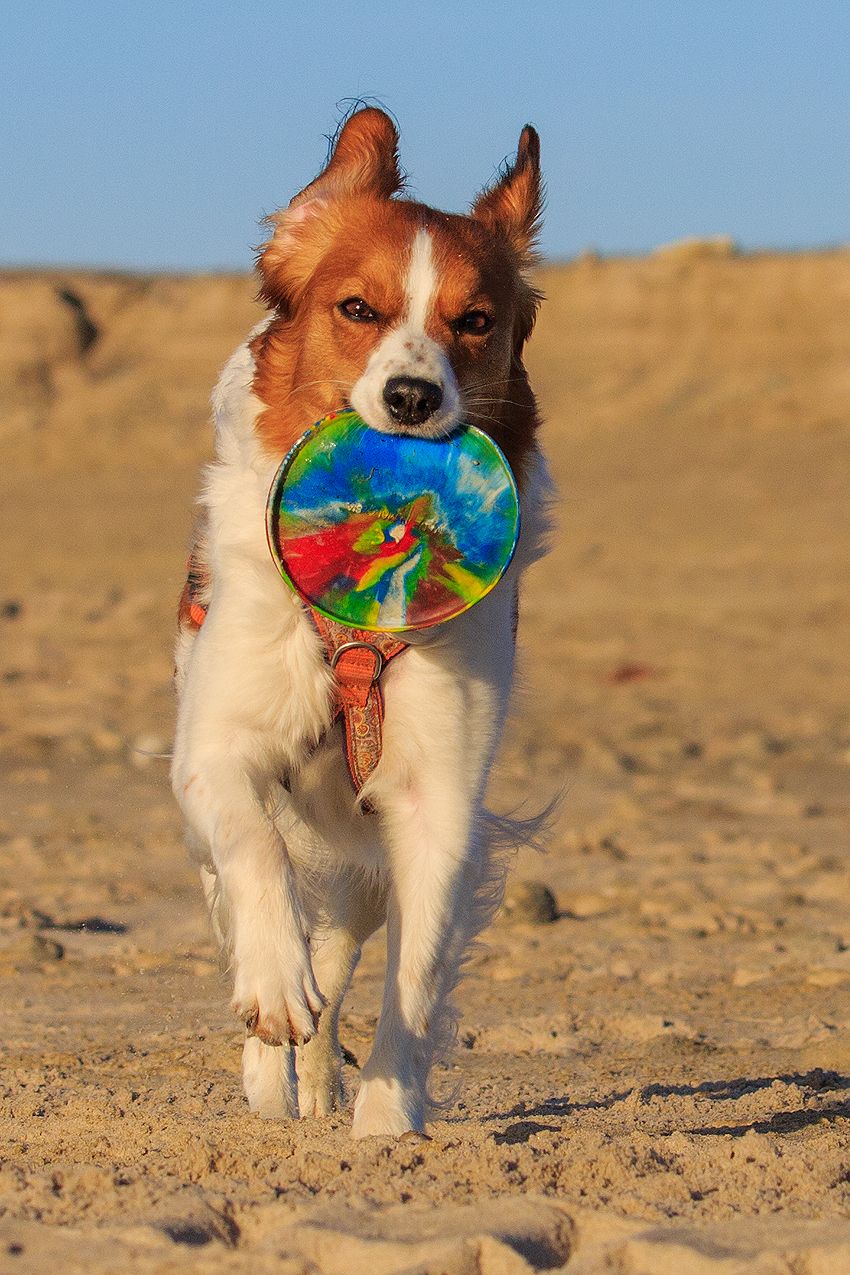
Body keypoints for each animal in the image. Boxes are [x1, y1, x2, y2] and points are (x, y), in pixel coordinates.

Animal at [170, 109, 553, 1137]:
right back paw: (272, 1068)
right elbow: (256, 849)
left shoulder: (435, 798)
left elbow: (411, 978)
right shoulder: (215, 748)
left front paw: (385, 1121)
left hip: (360, 866)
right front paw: (273, 987)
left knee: (342, 956)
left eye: (475, 321)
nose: (413, 398)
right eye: (356, 309)